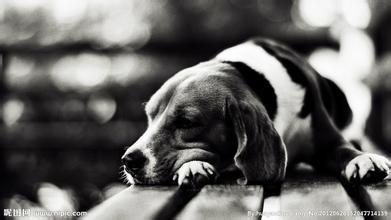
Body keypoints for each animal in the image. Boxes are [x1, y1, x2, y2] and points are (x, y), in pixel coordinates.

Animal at [121, 37, 390, 186]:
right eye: (149, 117)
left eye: (187, 122)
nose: (128, 161)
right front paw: (193, 166)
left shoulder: (327, 140)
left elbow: (344, 150)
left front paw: (363, 159)